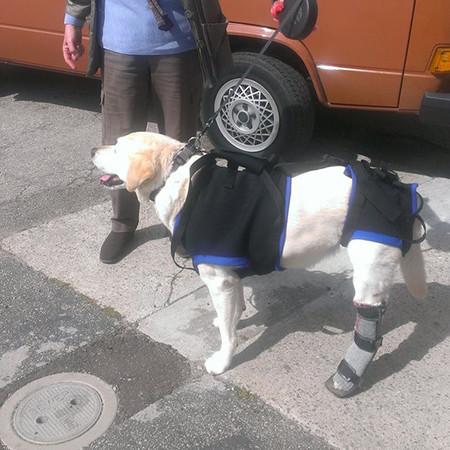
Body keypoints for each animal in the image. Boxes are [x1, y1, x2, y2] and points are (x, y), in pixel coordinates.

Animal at [91, 131, 426, 398]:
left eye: (117, 148)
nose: (93, 150)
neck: (178, 179)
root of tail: (399, 188)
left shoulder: (219, 279)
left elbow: (229, 336)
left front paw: (222, 361)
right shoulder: (230, 275)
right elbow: (235, 309)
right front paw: (228, 319)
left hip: (369, 271)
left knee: (369, 325)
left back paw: (348, 374)